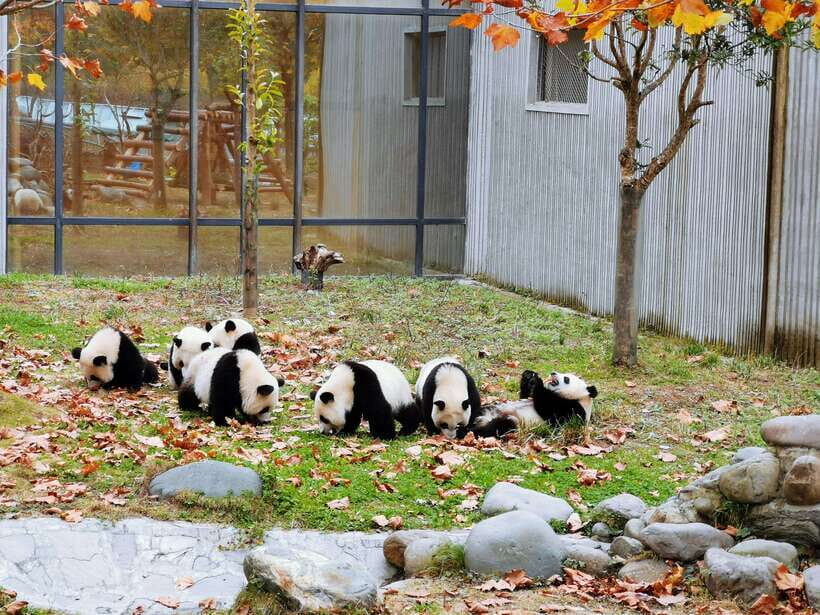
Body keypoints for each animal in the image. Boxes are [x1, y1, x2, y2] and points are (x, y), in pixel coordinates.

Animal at [470, 370, 598, 441]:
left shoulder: (575, 411)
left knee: (499, 426)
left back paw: (475, 431)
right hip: (490, 408)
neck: (580, 399)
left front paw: (537, 382)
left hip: (515, 422)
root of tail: (483, 419)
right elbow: (525, 396)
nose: (553, 373)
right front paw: (528, 377)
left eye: (566, 379)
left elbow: (553, 415)